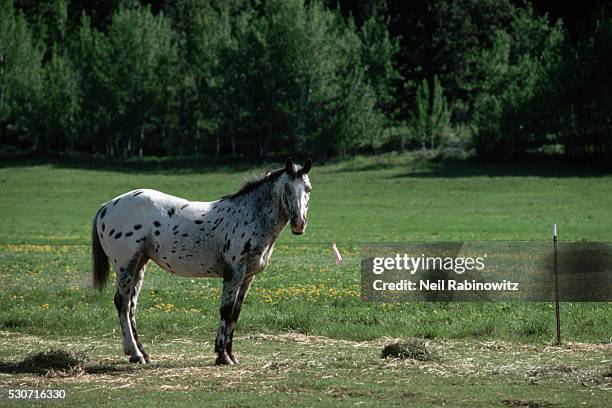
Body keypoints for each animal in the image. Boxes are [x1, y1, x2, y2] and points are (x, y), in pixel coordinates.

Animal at [92, 158, 310, 364]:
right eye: (287, 188)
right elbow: (226, 311)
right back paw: (136, 354)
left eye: (308, 188)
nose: (299, 223)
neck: (250, 215)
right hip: (126, 266)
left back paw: (142, 353)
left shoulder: (248, 277)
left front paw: (231, 355)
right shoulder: (234, 272)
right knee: (122, 303)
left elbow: (236, 313)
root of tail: (106, 206)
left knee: (131, 305)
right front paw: (222, 356)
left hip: (140, 264)